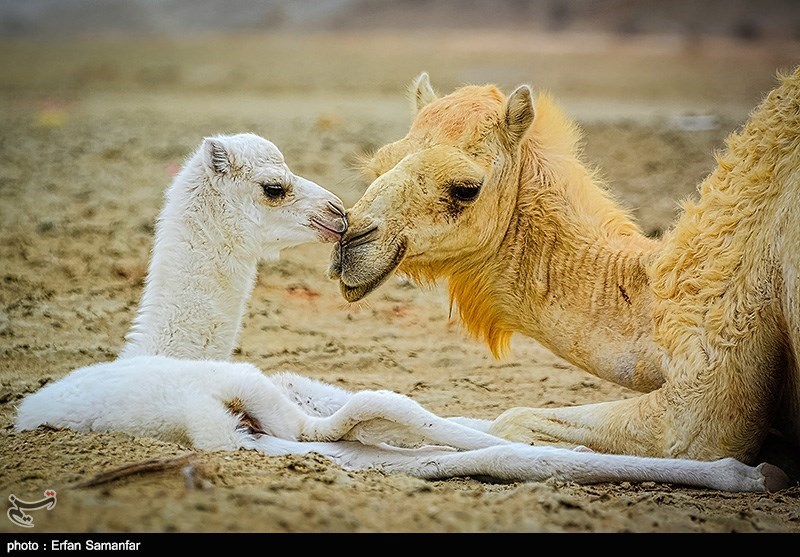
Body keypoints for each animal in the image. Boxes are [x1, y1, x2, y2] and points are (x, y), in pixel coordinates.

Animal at [14, 132, 788, 488]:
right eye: (273, 186)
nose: (340, 216)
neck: (155, 350)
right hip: (259, 423)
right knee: (411, 436)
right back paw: (744, 473)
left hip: (279, 408)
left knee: (413, 428)